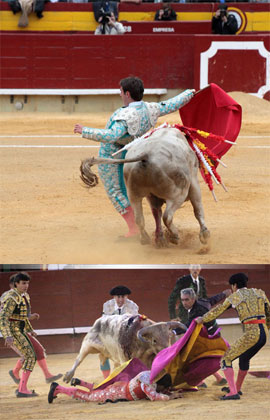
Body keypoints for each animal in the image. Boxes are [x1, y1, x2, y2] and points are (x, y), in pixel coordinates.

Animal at [80, 126, 211, 248]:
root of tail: (147, 155)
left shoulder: (151, 196)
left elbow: (156, 214)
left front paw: (159, 239)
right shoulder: (194, 183)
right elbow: (198, 208)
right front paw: (205, 235)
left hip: (133, 194)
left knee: (139, 218)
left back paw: (145, 239)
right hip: (178, 194)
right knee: (167, 216)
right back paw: (175, 236)